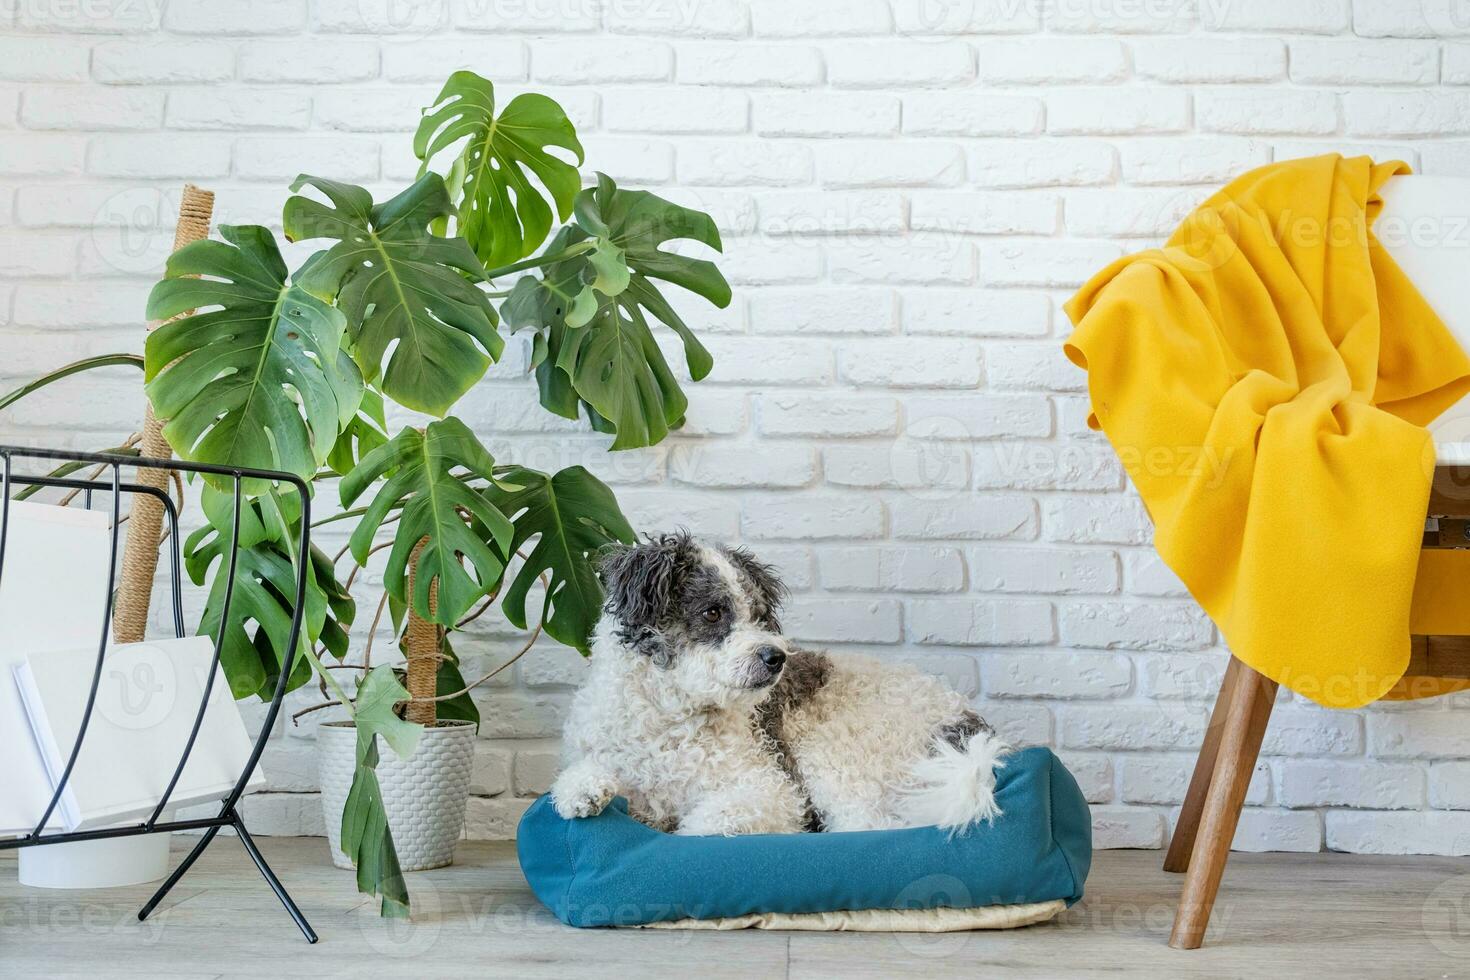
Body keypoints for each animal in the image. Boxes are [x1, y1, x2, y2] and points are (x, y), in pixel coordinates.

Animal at [552, 531, 1011, 840]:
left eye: (758, 614)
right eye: (713, 612)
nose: (776, 658)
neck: (671, 718)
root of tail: (964, 724)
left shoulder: (771, 790)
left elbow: (703, 824)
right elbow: (594, 775)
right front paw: (583, 790)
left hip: (831, 751)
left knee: (872, 826)